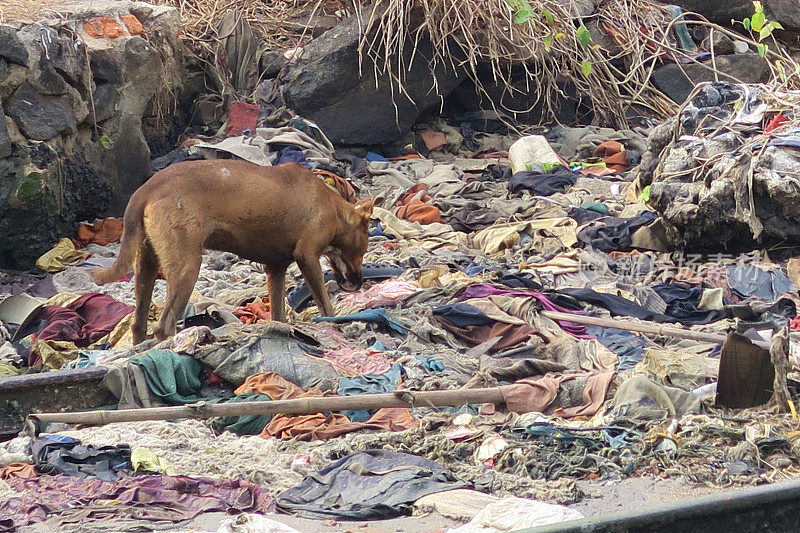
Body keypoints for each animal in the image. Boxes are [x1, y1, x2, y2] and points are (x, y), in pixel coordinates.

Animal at [92, 160, 374, 342]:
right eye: (365, 245)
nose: (359, 282)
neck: (334, 207)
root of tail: (147, 188)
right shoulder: (307, 256)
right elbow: (326, 305)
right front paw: (333, 326)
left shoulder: (275, 268)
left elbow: (278, 314)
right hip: (187, 267)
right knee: (163, 326)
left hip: (146, 263)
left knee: (139, 324)